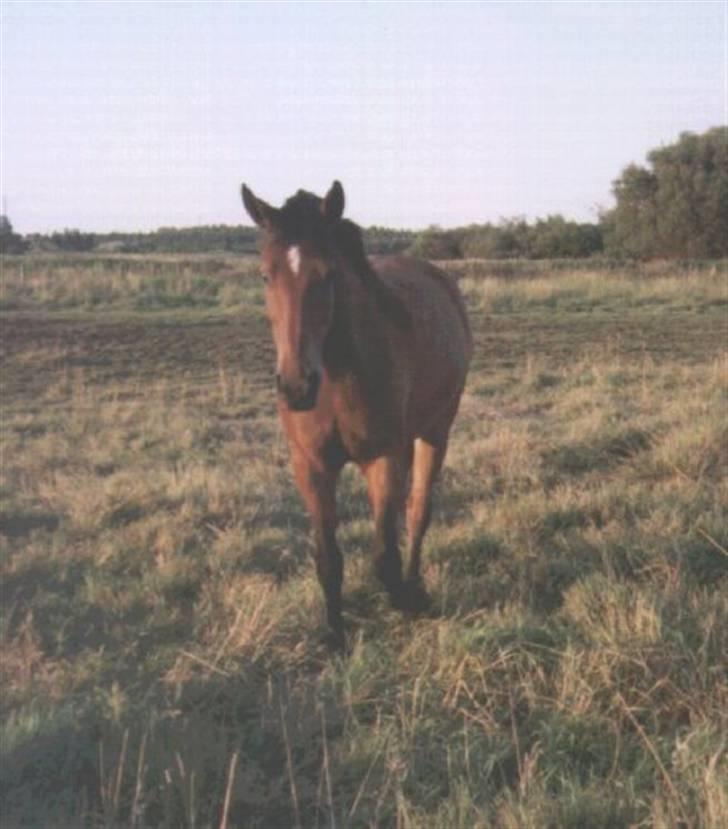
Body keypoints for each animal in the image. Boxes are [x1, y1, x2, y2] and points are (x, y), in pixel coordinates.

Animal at [242, 181, 474, 648]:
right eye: (265, 275)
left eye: (328, 274)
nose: (296, 386)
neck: (337, 380)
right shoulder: (311, 467)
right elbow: (328, 557)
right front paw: (334, 633)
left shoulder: (384, 458)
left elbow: (384, 556)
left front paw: (408, 600)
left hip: (436, 430)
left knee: (418, 511)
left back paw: (415, 583)